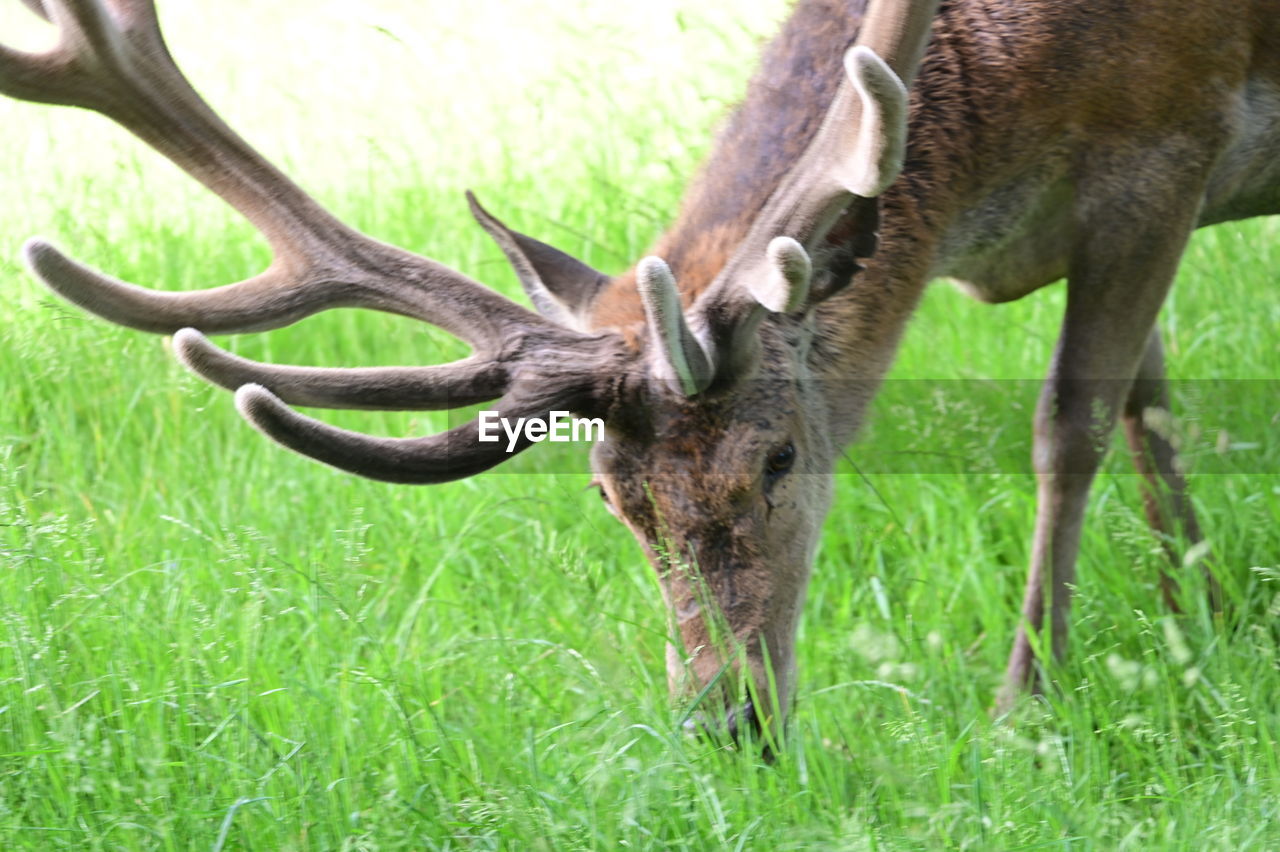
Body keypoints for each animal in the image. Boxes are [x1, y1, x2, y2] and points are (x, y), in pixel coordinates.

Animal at [2, 0, 1280, 736]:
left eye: (779, 457)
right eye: (612, 499)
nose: (724, 726)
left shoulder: (1166, 148)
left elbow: (1069, 425)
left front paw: (1027, 711)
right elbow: (1146, 403)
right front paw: (1205, 621)